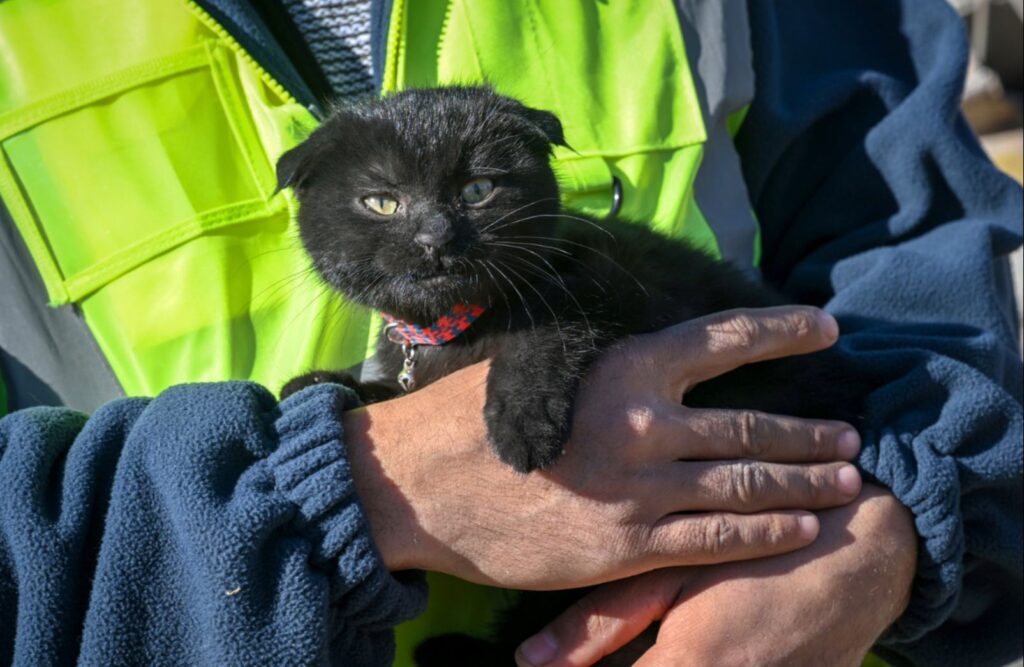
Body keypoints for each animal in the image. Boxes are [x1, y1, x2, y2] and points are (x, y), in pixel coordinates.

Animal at [276, 86, 860, 471]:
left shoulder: (624, 273)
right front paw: (320, 384)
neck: (458, 329)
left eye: (477, 190)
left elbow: (549, 318)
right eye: (381, 202)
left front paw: (523, 418)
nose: (434, 237)